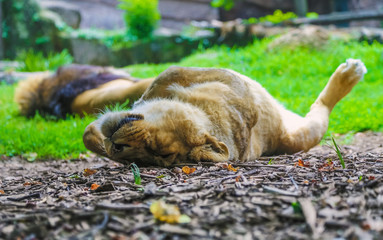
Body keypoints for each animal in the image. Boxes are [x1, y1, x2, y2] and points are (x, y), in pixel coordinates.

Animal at [15, 59, 368, 167]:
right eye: (131, 160)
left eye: (155, 150)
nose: (117, 147)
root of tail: (281, 134)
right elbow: (89, 132)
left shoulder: (228, 85)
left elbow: (166, 74)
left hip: (307, 131)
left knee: (322, 107)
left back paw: (349, 74)